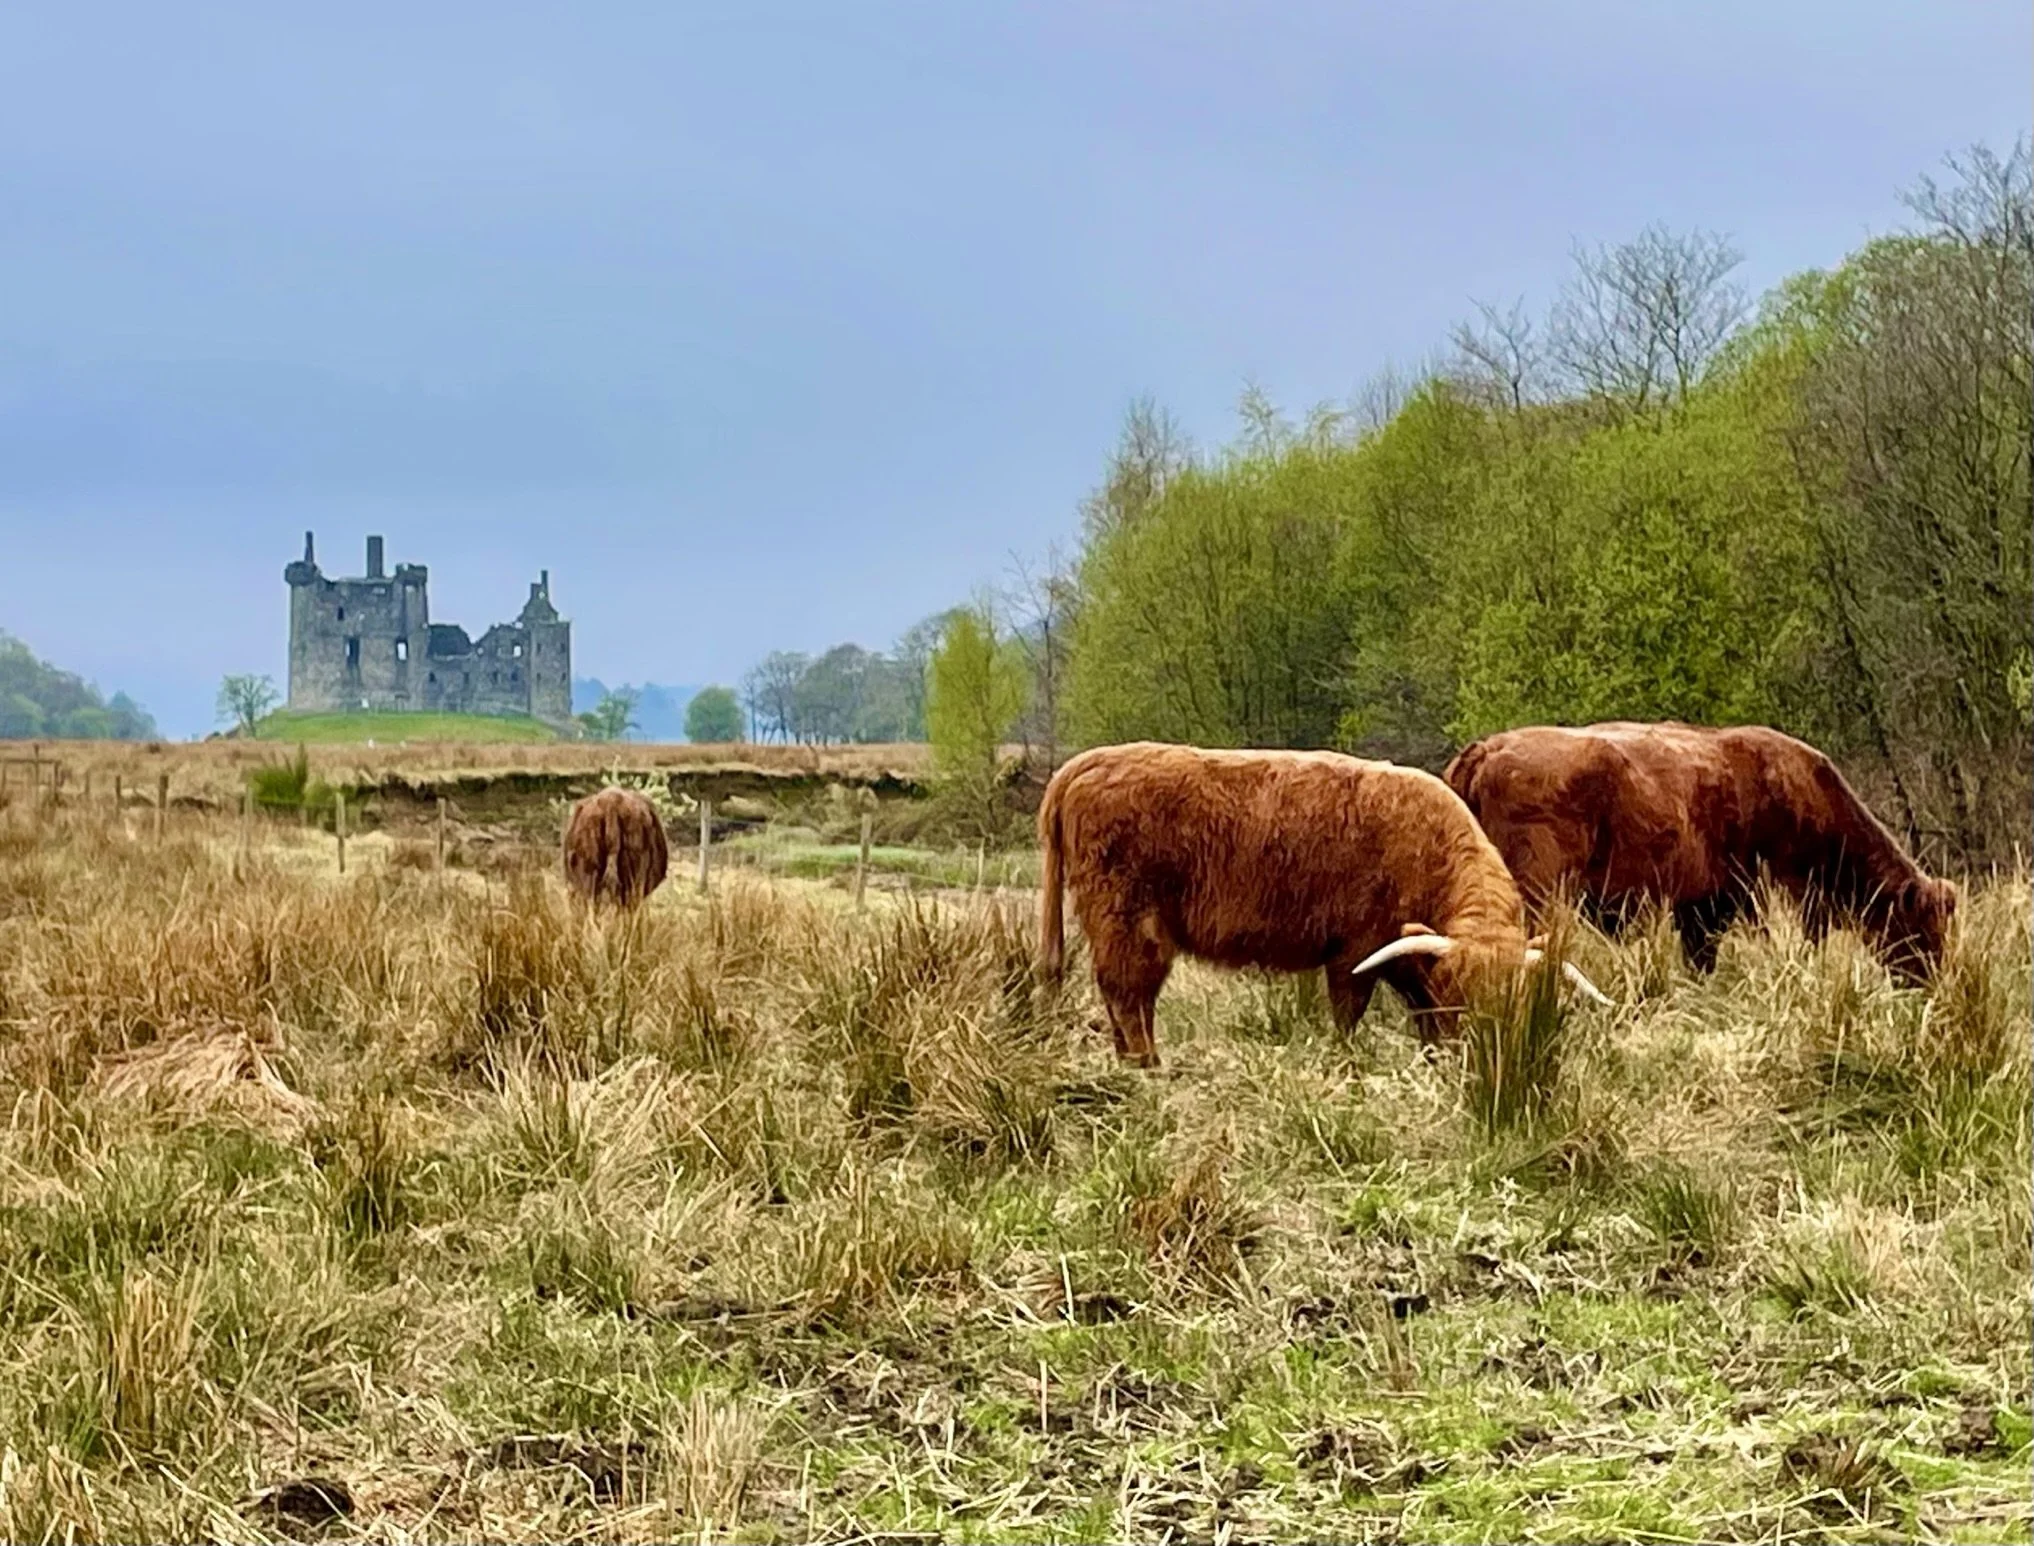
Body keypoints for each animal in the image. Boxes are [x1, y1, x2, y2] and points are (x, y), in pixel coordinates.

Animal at [1036, 741, 1607, 1067]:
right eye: (1457, 993)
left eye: (1513, 1000)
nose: (1481, 1050)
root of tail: (1083, 764)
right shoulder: (1355, 949)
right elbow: (1349, 1015)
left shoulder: (1407, 962)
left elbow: (1421, 1021)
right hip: (1129, 915)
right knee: (1127, 991)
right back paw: (1148, 1064)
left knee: (1127, 993)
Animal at [1442, 722, 1957, 981]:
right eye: (1921, 929)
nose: (1935, 979)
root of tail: (1486, 749)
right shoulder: (1763, 895)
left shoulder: (1698, 907)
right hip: (1537, 893)